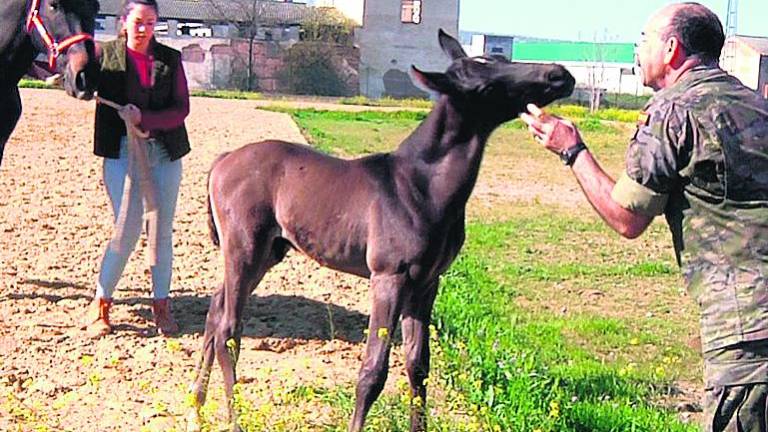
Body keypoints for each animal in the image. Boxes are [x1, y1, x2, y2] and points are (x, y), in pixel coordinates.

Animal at [190, 30, 576, 432]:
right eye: (483, 85)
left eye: (501, 60)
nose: (559, 75)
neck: (420, 186)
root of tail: (223, 161)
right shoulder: (389, 277)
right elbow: (373, 371)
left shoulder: (427, 283)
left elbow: (418, 366)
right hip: (244, 249)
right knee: (228, 330)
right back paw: (231, 418)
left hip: (267, 253)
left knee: (215, 312)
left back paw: (196, 408)